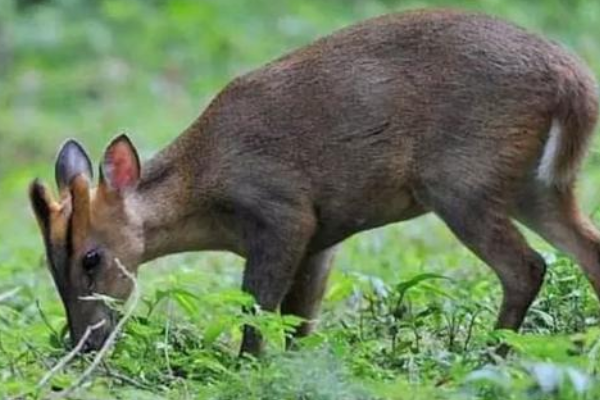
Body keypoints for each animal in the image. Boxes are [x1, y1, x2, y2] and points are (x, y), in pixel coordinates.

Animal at [29, 9, 600, 354]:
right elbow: (301, 320)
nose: (82, 342)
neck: (203, 188)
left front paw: (246, 366)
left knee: (527, 266)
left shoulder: (284, 213)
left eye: (91, 258)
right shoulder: (323, 236)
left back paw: (493, 353)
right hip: (536, 187)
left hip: (462, 183)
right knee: (588, 251)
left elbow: (259, 311)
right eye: (51, 266)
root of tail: (573, 82)